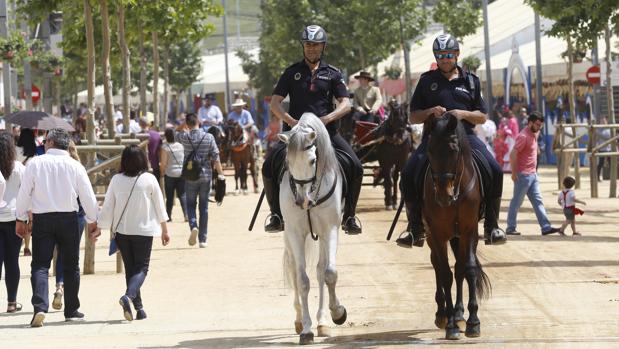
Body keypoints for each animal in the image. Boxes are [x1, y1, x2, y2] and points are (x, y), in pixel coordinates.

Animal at [278, 113, 346, 344]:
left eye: (313, 160)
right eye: (288, 162)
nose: (302, 201)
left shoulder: (330, 229)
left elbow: (329, 273)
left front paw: (337, 313)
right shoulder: (295, 233)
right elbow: (302, 281)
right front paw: (307, 330)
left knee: (320, 270)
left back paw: (323, 322)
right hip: (288, 238)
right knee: (292, 268)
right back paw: (300, 320)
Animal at [424, 113, 492, 338]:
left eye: (454, 150)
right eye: (430, 149)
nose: (443, 195)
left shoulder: (469, 230)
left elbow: (468, 269)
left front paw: (473, 322)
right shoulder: (437, 234)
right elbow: (445, 274)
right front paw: (451, 325)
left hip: (458, 236)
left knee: (459, 268)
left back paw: (459, 313)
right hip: (432, 236)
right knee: (437, 265)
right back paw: (443, 314)